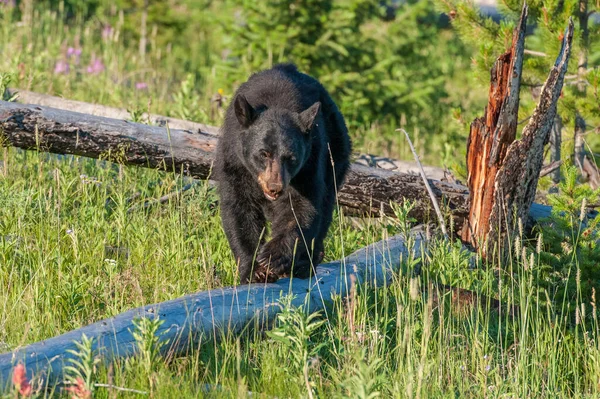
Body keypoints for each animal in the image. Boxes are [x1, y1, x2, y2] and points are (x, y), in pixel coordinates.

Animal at [216, 64, 352, 284]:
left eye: (291, 158)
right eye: (263, 153)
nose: (275, 187)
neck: (276, 101)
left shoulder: (309, 164)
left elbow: (300, 208)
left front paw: (273, 256)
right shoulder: (234, 163)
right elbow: (239, 211)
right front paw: (253, 270)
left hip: (336, 155)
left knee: (325, 209)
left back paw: (304, 264)